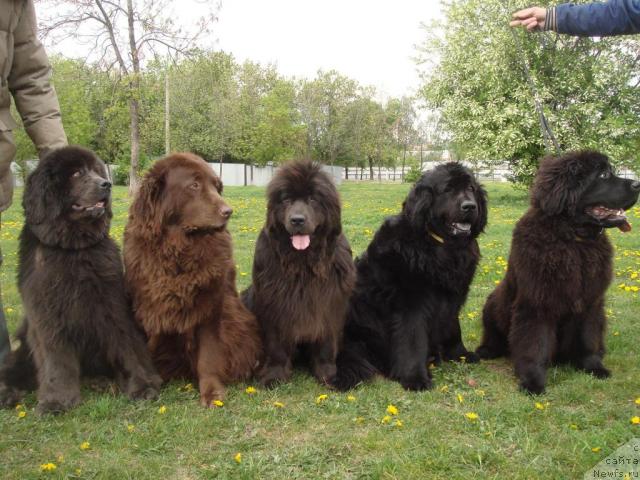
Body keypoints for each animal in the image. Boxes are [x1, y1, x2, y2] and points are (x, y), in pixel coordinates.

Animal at [0, 146, 161, 412]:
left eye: (96, 171)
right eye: (76, 173)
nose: (106, 184)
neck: (72, 249)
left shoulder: (113, 307)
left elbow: (128, 347)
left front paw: (143, 386)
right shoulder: (47, 318)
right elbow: (56, 360)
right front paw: (57, 400)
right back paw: (8, 393)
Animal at [125, 153, 260, 404]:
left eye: (217, 186)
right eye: (194, 185)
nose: (228, 211)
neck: (179, 250)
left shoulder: (209, 306)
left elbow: (208, 354)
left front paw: (212, 392)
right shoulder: (151, 307)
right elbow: (148, 347)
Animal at [244, 160, 358, 386]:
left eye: (313, 199)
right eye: (286, 199)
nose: (297, 220)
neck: (303, 263)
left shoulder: (330, 302)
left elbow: (326, 342)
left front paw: (327, 374)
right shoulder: (274, 304)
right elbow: (276, 345)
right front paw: (275, 375)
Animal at [332, 163, 488, 392]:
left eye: (470, 188)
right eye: (447, 189)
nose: (470, 206)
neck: (440, 246)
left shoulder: (452, 297)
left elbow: (453, 327)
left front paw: (459, 354)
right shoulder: (411, 304)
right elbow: (413, 340)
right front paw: (415, 378)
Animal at [478, 152, 640, 396]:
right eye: (603, 175)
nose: (638, 184)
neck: (573, 240)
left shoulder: (590, 302)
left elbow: (587, 337)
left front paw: (593, 366)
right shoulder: (536, 303)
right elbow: (534, 344)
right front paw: (532, 381)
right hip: (493, 302)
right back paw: (485, 351)